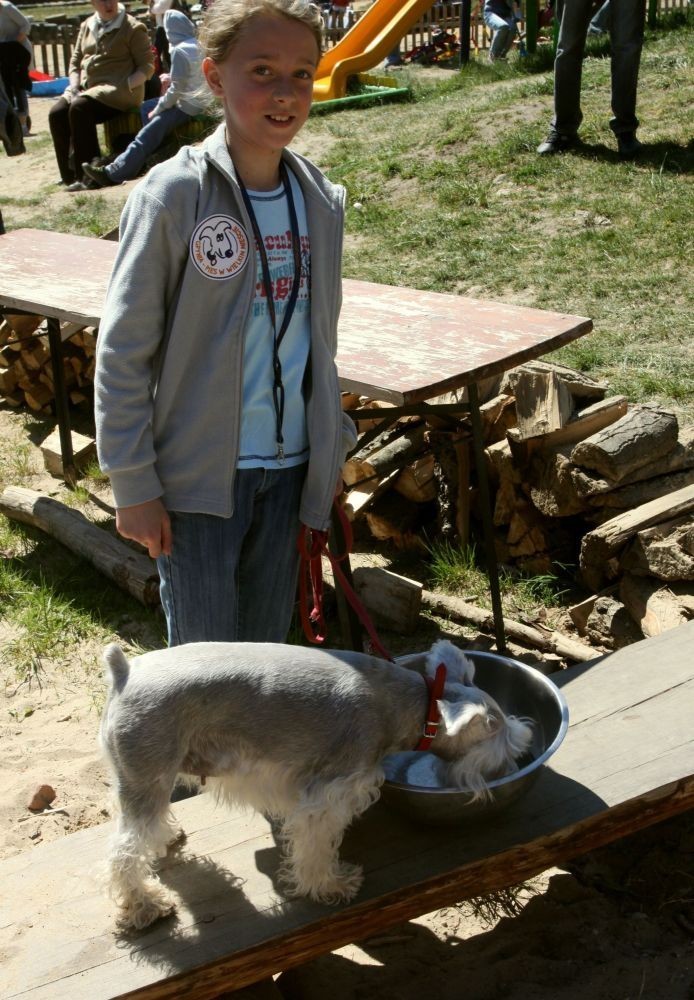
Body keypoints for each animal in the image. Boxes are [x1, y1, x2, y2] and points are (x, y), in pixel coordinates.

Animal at [100, 640, 532, 928]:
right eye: (503, 742)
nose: (512, 766)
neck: (408, 704)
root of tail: (124, 672)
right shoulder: (328, 794)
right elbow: (316, 847)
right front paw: (330, 885)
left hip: (142, 782)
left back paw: (165, 839)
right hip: (147, 778)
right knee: (123, 852)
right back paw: (145, 905)